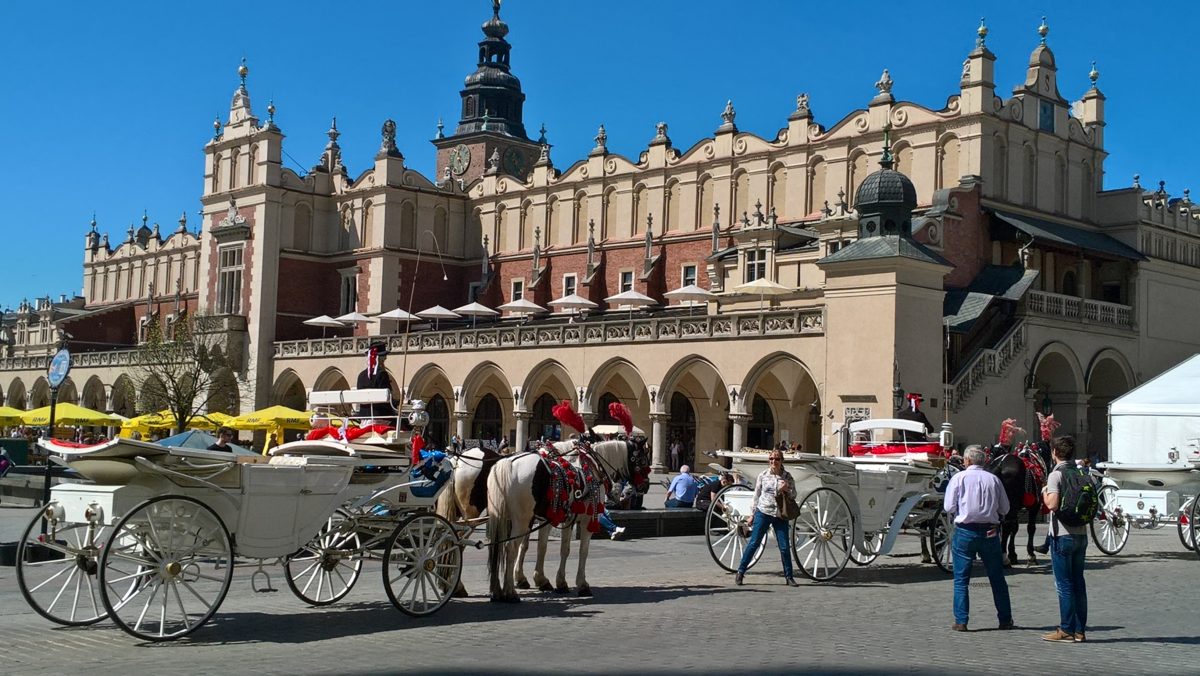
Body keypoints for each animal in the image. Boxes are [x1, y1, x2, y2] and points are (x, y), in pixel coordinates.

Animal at [482, 439, 648, 602]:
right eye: (643, 460)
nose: (645, 485)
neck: (593, 467)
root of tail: (506, 463)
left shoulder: (559, 518)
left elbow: (551, 548)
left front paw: (550, 581)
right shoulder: (587, 519)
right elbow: (583, 551)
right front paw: (582, 585)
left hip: (503, 518)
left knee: (497, 547)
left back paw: (497, 591)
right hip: (521, 519)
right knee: (510, 549)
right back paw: (510, 592)